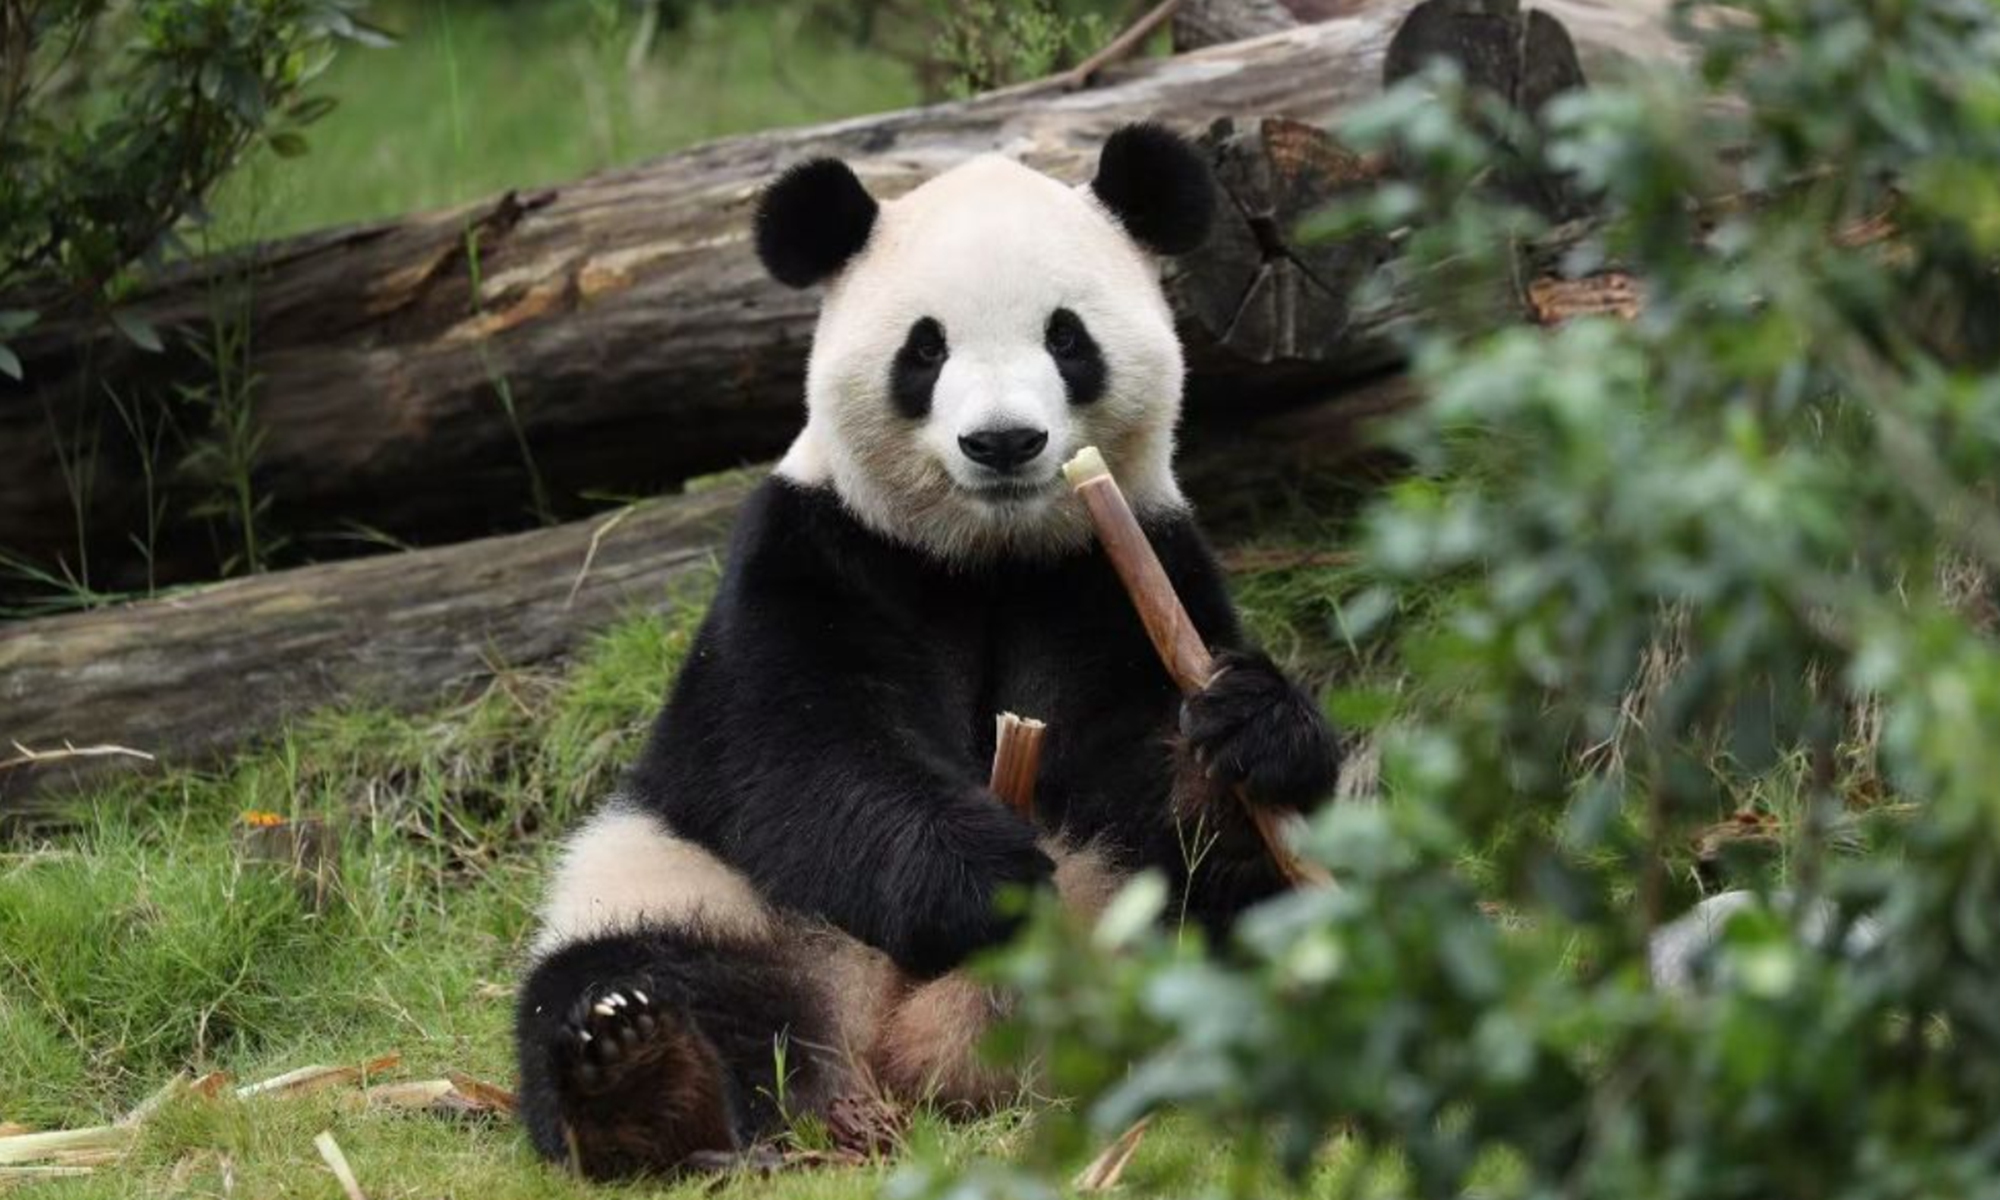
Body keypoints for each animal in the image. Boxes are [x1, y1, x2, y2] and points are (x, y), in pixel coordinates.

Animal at [514, 124, 1343, 1180]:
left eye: (1066, 337)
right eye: (926, 347)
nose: (1004, 442)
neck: (988, 555)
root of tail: (903, 1054)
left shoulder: (1121, 566)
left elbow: (1142, 764)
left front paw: (1244, 734)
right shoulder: (813, 552)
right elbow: (798, 750)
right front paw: (980, 880)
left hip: (1125, 921)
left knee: (1243, 924)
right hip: (693, 888)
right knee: (629, 975)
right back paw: (643, 1079)